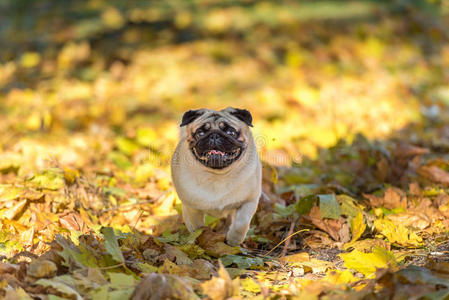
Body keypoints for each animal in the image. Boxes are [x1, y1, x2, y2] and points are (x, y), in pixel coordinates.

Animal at [172, 108, 262, 246]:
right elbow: (198, 228)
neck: (218, 177)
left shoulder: (249, 201)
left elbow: (241, 223)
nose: (214, 135)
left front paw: (233, 240)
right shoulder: (192, 207)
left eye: (231, 132)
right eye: (200, 133)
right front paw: (200, 240)